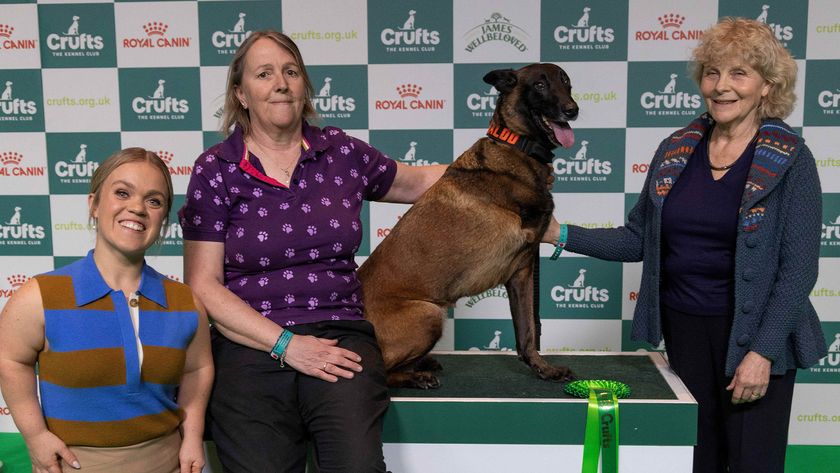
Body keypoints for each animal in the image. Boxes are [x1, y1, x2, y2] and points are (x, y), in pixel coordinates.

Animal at [358, 62, 580, 388]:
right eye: (540, 85)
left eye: (567, 83)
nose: (571, 109)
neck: (517, 145)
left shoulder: (522, 271)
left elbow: (527, 332)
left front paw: (543, 369)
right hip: (428, 313)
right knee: (381, 372)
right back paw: (417, 376)